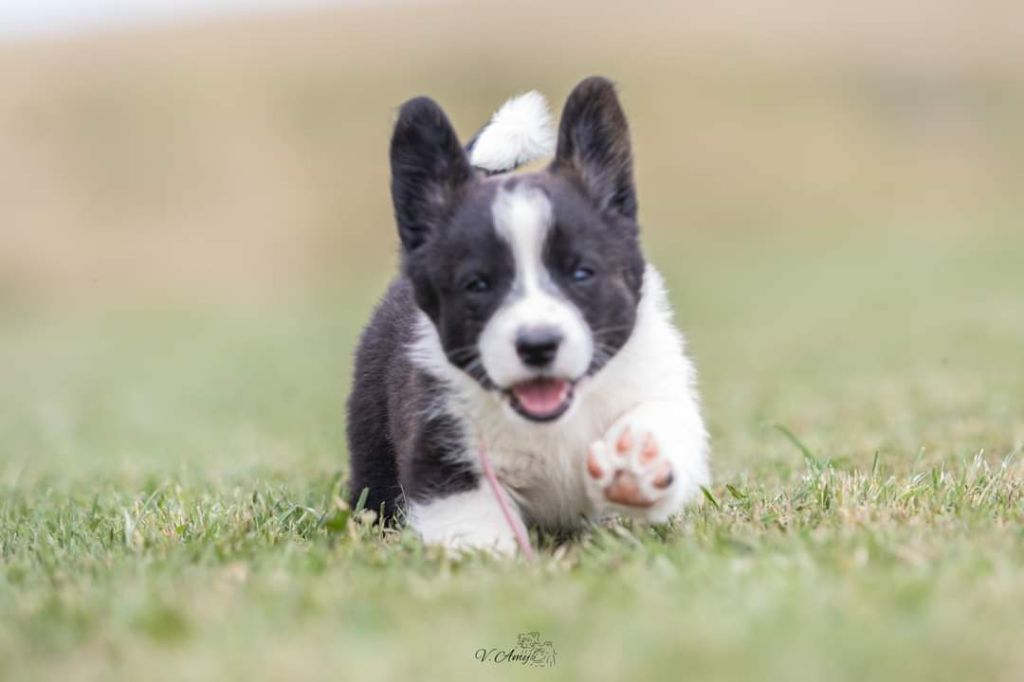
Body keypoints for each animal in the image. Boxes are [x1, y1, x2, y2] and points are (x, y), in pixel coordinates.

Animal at [346, 77, 709, 553]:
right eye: (478, 285)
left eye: (581, 273)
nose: (538, 345)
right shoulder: (440, 445)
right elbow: (471, 517)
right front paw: (489, 557)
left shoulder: (655, 380)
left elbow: (660, 419)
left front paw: (635, 464)